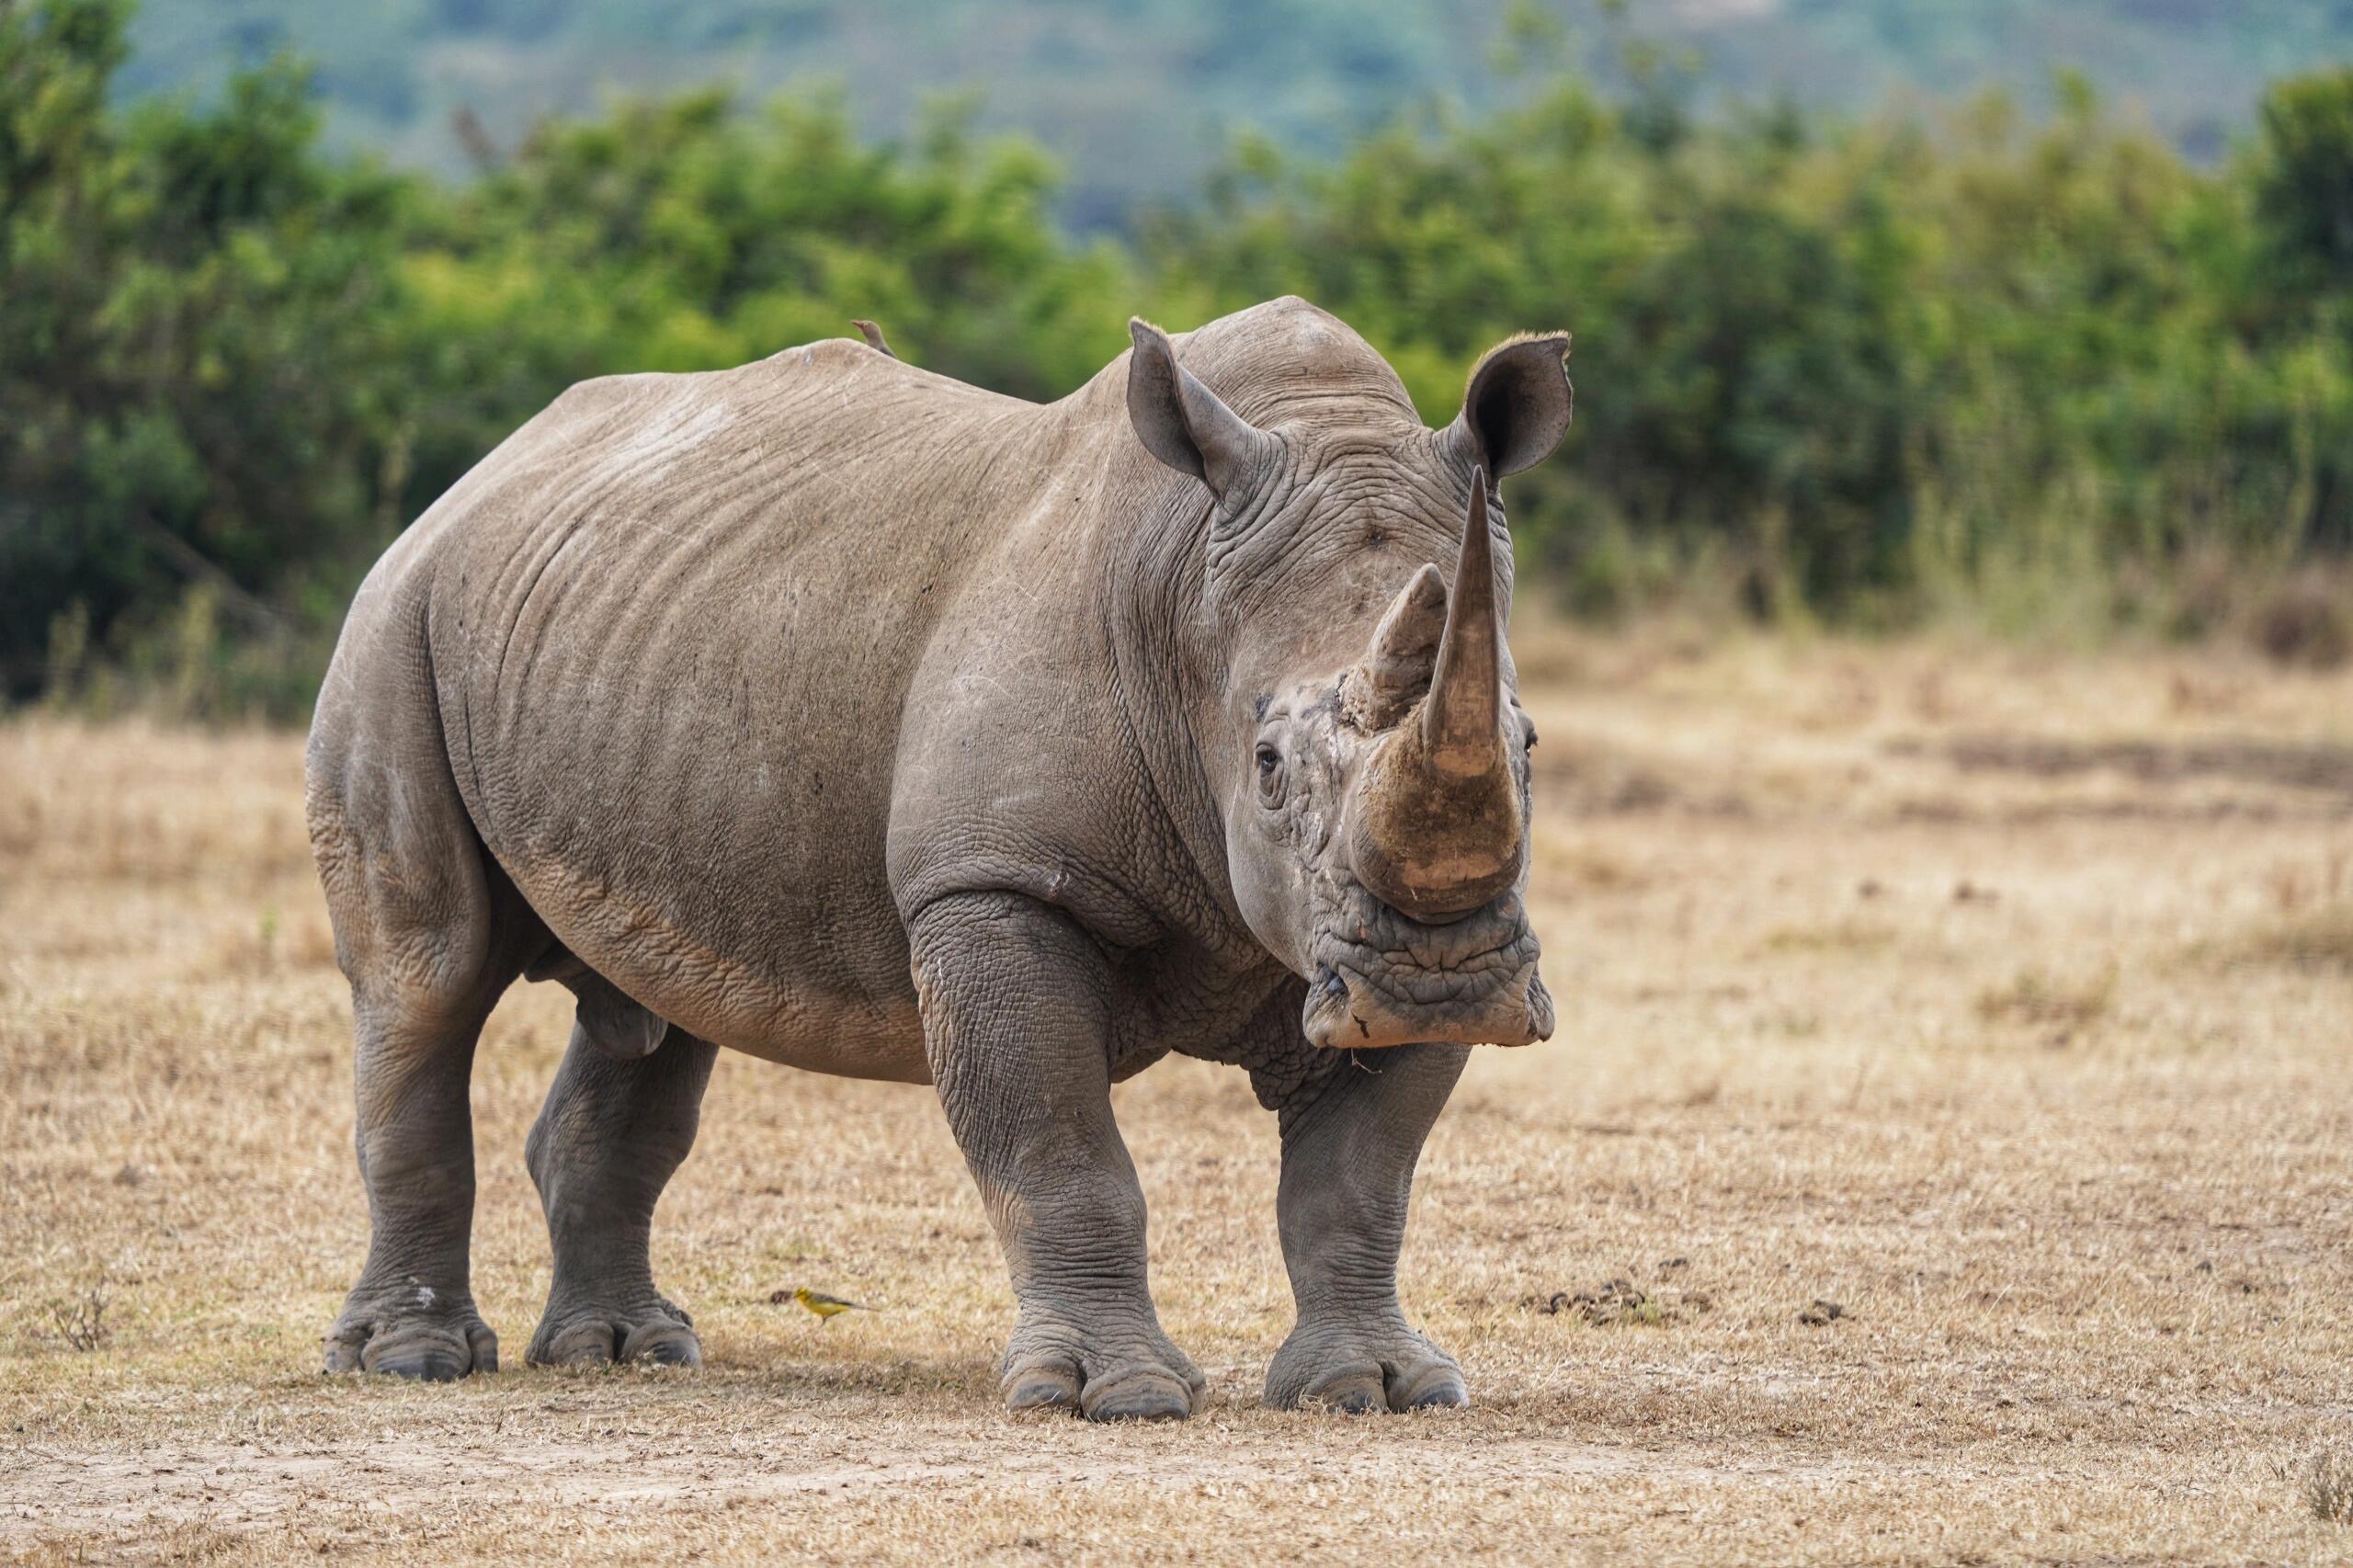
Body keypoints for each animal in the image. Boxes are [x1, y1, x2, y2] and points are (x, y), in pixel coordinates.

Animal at [305, 296, 1569, 1419]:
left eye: (1526, 743)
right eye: (1264, 761)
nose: (1443, 979)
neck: (1180, 591)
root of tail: (481, 474)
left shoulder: (1359, 931)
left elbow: (1357, 1177)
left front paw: (1380, 1389)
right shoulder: (991, 882)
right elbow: (1058, 1146)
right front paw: (1108, 1398)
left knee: (653, 1013)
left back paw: (626, 1350)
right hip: (396, 616)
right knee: (425, 980)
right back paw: (412, 1362)